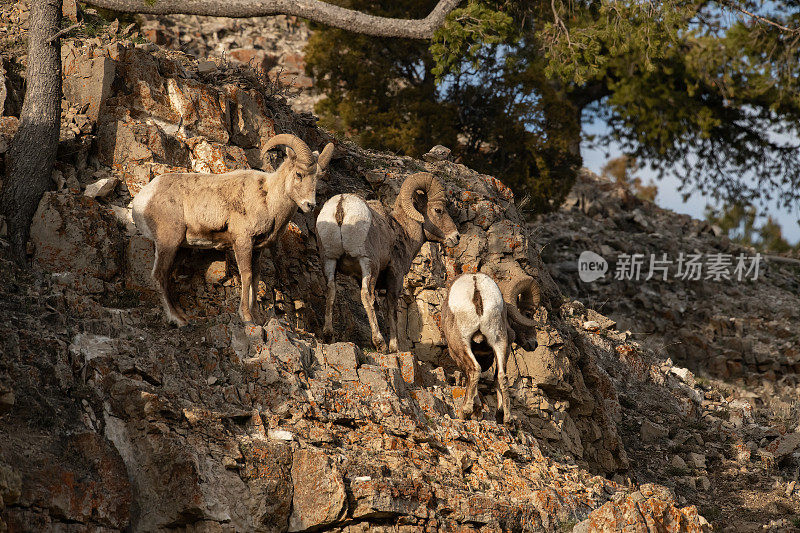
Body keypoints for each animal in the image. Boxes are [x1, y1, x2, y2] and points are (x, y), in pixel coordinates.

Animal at [133, 133, 332, 324]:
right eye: (299, 174)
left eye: (318, 178)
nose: (310, 205)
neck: (268, 200)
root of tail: (141, 199)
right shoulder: (243, 241)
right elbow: (247, 275)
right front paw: (246, 317)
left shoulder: (257, 249)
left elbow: (256, 278)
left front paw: (258, 318)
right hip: (168, 243)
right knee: (159, 275)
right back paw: (178, 320)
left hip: (181, 248)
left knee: (169, 277)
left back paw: (182, 316)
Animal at [316, 172, 460, 352]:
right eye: (438, 210)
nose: (456, 237)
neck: (403, 231)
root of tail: (341, 205)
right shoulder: (395, 275)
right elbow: (391, 309)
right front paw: (394, 347)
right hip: (368, 263)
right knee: (366, 295)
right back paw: (380, 343)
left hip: (329, 260)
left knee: (331, 291)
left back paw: (329, 336)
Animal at [440, 272, 540, 422]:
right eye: (528, 314)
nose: (534, 344)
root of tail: (477, 289)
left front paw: (476, 412)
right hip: (499, 342)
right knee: (502, 377)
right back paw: (506, 419)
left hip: (460, 343)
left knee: (474, 370)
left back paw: (465, 411)